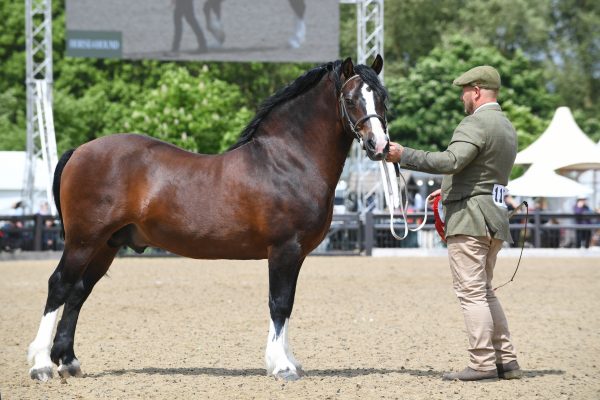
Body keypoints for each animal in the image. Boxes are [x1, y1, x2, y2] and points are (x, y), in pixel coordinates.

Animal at [29, 54, 390, 380]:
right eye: (350, 99)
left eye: (382, 98)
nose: (379, 145)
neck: (287, 160)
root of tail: (79, 150)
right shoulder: (284, 249)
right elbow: (279, 303)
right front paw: (281, 367)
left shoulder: (297, 254)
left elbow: (288, 304)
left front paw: (288, 361)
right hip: (83, 240)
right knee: (59, 286)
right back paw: (42, 365)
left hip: (106, 245)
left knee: (78, 292)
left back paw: (68, 362)